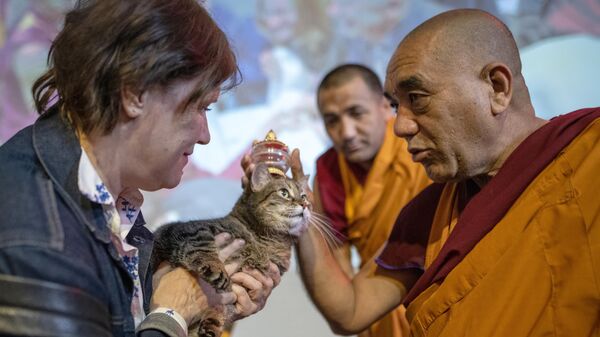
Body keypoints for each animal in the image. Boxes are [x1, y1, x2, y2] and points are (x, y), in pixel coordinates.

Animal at [150, 163, 312, 336]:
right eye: (284, 193)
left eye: (304, 196)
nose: (305, 205)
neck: (271, 243)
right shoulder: (193, 231)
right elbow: (203, 248)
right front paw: (216, 269)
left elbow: (224, 307)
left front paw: (213, 322)